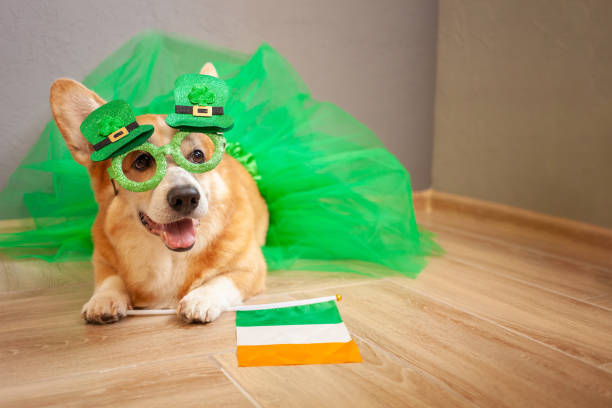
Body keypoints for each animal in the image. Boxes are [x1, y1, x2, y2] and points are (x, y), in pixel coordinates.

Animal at [47, 63, 268, 326]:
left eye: (197, 155)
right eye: (142, 161)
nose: (186, 198)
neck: (170, 257)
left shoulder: (251, 267)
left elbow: (223, 280)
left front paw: (200, 299)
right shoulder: (102, 262)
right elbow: (110, 280)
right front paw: (103, 300)